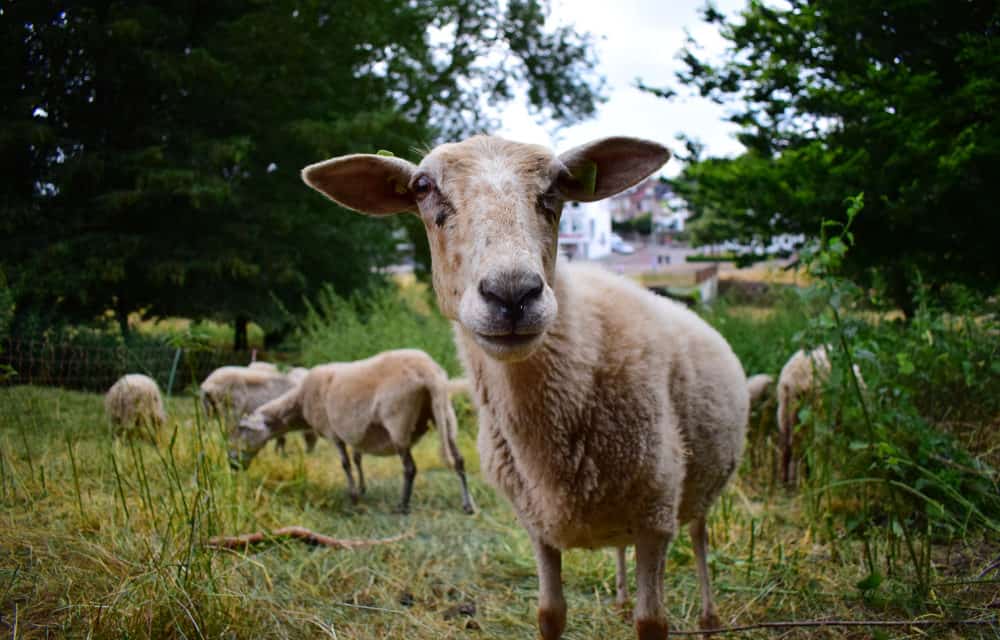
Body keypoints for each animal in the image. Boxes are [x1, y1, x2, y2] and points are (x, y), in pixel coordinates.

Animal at [228, 349, 476, 515]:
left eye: (241, 430)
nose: (232, 464)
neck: (300, 403)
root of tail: (428, 372)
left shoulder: (334, 432)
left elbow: (345, 464)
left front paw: (353, 496)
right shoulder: (357, 431)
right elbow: (357, 459)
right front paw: (363, 488)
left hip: (398, 419)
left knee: (410, 468)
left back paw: (403, 506)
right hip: (445, 414)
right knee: (460, 460)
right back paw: (468, 504)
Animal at [301, 135, 752, 639]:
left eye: (558, 185)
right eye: (422, 187)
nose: (513, 293)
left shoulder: (656, 517)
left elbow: (651, 621)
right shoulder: (537, 524)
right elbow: (549, 614)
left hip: (694, 490)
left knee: (699, 538)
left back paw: (709, 617)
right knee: (623, 548)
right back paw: (618, 597)